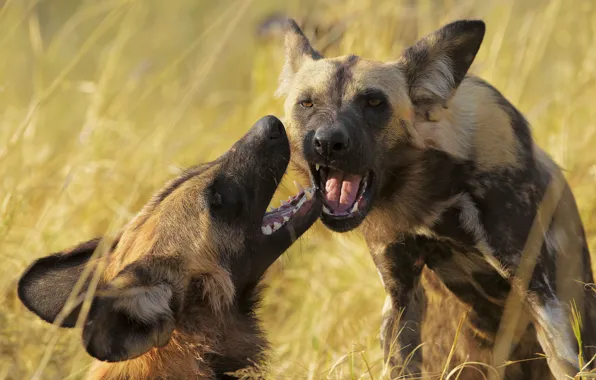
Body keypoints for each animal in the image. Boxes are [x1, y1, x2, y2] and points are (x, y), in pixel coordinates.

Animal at [274, 18, 596, 380]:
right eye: (307, 103)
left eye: (374, 103)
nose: (328, 142)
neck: (432, 195)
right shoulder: (401, 296)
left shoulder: (544, 298)